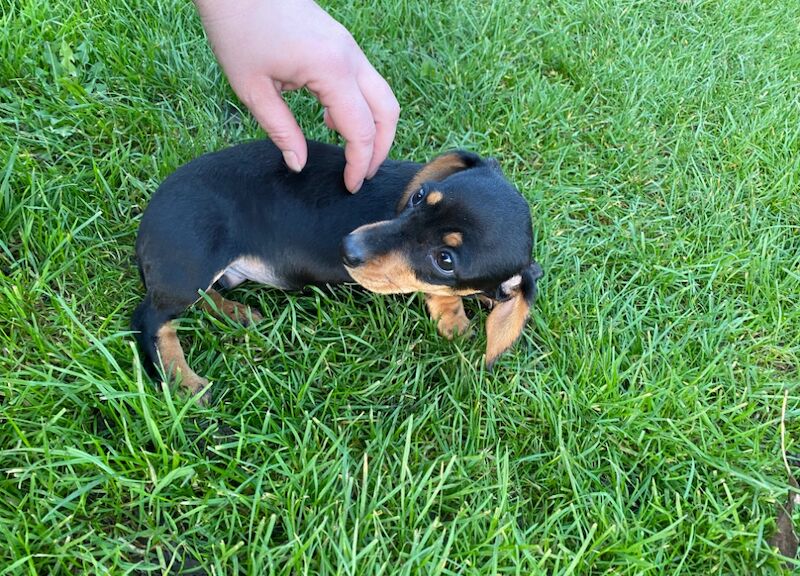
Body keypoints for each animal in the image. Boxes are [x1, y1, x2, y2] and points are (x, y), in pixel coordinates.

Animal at [133, 140, 544, 400]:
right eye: (419, 197)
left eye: (445, 260)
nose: (348, 249)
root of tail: (149, 218)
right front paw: (455, 319)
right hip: (192, 262)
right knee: (151, 319)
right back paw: (183, 381)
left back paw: (237, 314)